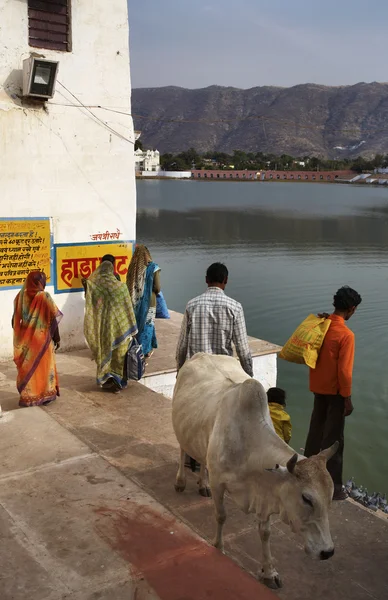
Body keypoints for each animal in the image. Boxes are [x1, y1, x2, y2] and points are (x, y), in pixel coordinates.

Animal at [171, 354, 338, 588]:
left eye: (330, 497)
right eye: (306, 498)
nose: (327, 552)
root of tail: (202, 354)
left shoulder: (266, 492)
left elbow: (265, 532)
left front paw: (269, 572)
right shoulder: (219, 483)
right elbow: (221, 516)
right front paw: (219, 548)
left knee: (202, 460)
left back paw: (202, 484)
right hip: (181, 429)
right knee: (182, 450)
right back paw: (180, 481)